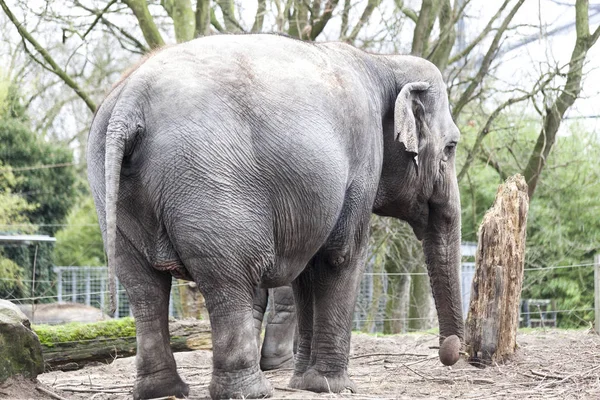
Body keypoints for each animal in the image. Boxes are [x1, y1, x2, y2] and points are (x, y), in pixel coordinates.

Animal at [88, 32, 464, 398]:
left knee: (142, 286)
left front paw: (304, 385)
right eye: (451, 147)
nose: (449, 352)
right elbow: (339, 257)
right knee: (230, 279)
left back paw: (164, 391)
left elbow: (308, 272)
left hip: (111, 185)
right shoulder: (362, 159)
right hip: (209, 183)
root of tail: (130, 101)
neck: (382, 61)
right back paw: (251, 392)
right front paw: (332, 387)